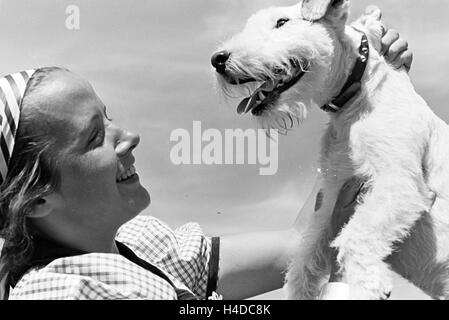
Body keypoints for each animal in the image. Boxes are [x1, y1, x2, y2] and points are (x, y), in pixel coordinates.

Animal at [212, 0, 448, 300]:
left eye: (281, 22)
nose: (217, 59)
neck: (354, 101)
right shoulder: (332, 197)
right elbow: (307, 252)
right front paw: (299, 291)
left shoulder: (399, 183)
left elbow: (355, 234)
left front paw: (368, 283)